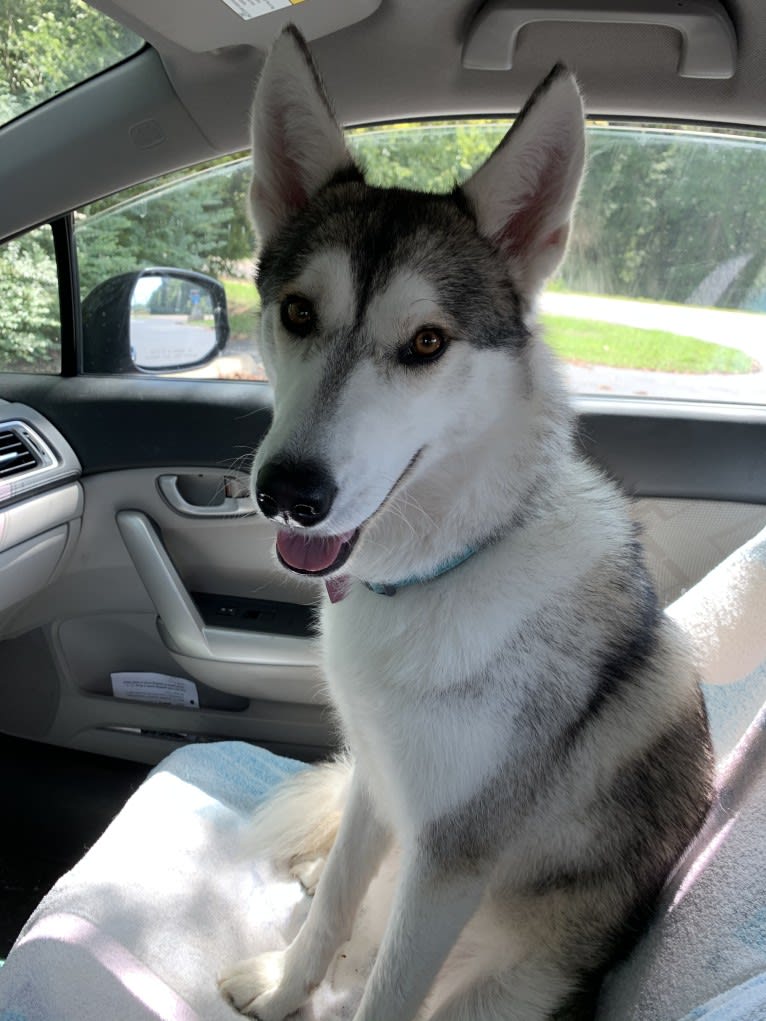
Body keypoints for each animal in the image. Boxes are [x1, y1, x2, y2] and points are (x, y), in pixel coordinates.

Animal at [218, 27, 719, 1021]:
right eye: (297, 311)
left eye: (426, 343)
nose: (290, 491)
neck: (437, 572)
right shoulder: (379, 787)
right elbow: (332, 907)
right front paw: (286, 983)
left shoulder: (450, 861)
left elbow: (384, 992)